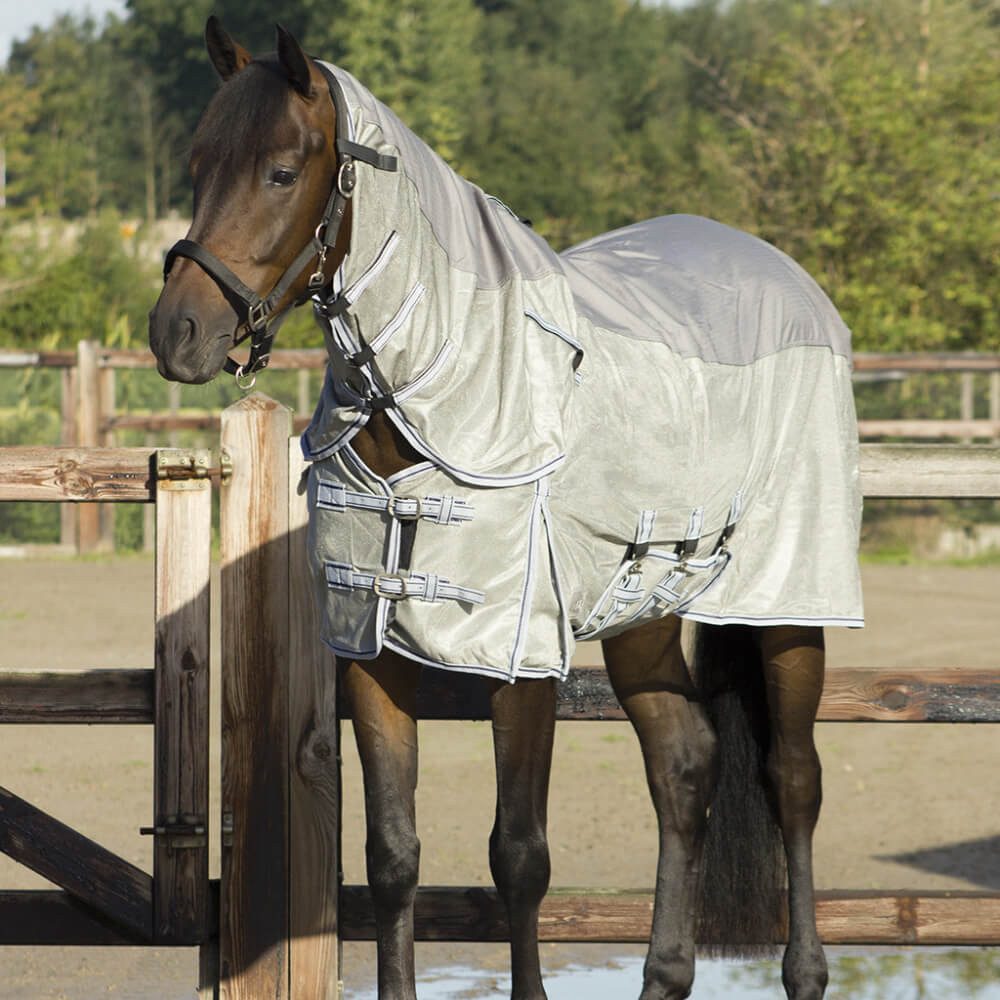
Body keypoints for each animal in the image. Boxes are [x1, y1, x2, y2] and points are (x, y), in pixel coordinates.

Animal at [149, 19, 864, 1000]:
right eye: (195, 164)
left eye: (282, 172)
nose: (175, 334)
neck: (437, 390)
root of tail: (791, 282)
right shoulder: (371, 648)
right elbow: (392, 855)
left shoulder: (521, 658)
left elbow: (518, 857)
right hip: (641, 610)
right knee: (684, 765)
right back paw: (665, 972)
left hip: (788, 603)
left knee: (792, 778)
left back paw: (803, 971)